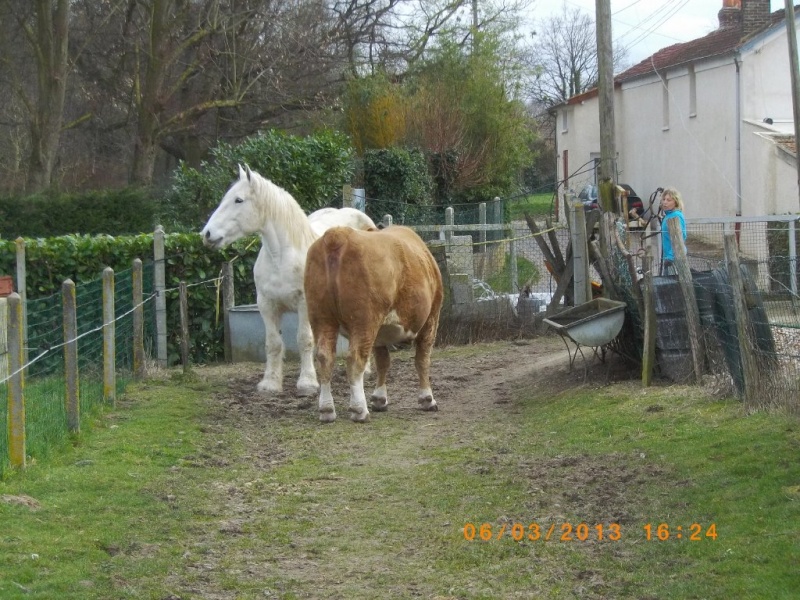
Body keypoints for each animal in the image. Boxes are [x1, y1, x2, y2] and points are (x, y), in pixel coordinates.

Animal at [200, 166, 376, 396]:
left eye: (238, 200)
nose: (207, 234)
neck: (281, 257)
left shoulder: (304, 304)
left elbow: (304, 340)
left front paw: (308, 382)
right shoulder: (266, 305)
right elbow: (273, 343)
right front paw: (270, 384)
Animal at [304, 225, 444, 422]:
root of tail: (339, 233)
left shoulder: (380, 334)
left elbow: (383, 362)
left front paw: (379, 399)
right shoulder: (431, 319)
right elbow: (422, 360)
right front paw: (427, 399)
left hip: (321, 317)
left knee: (325, 356)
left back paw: (327, 410)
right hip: (364, 320)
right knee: (355, 359)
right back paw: (359, 410)